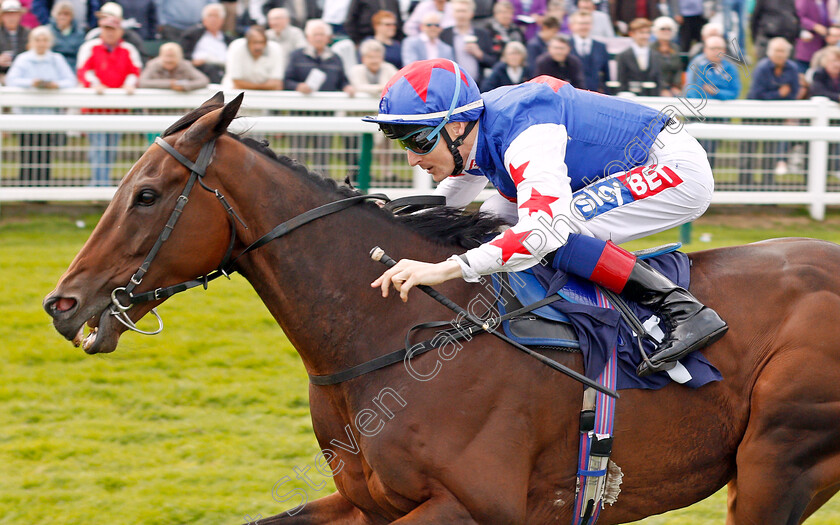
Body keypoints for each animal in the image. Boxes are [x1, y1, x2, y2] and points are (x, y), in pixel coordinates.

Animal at [42, 92, 840, 520]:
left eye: (147, 195)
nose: (62, 302)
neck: (390, 337)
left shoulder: (477, 505)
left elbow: (545, 224)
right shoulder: (367, 503)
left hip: (776, 462)